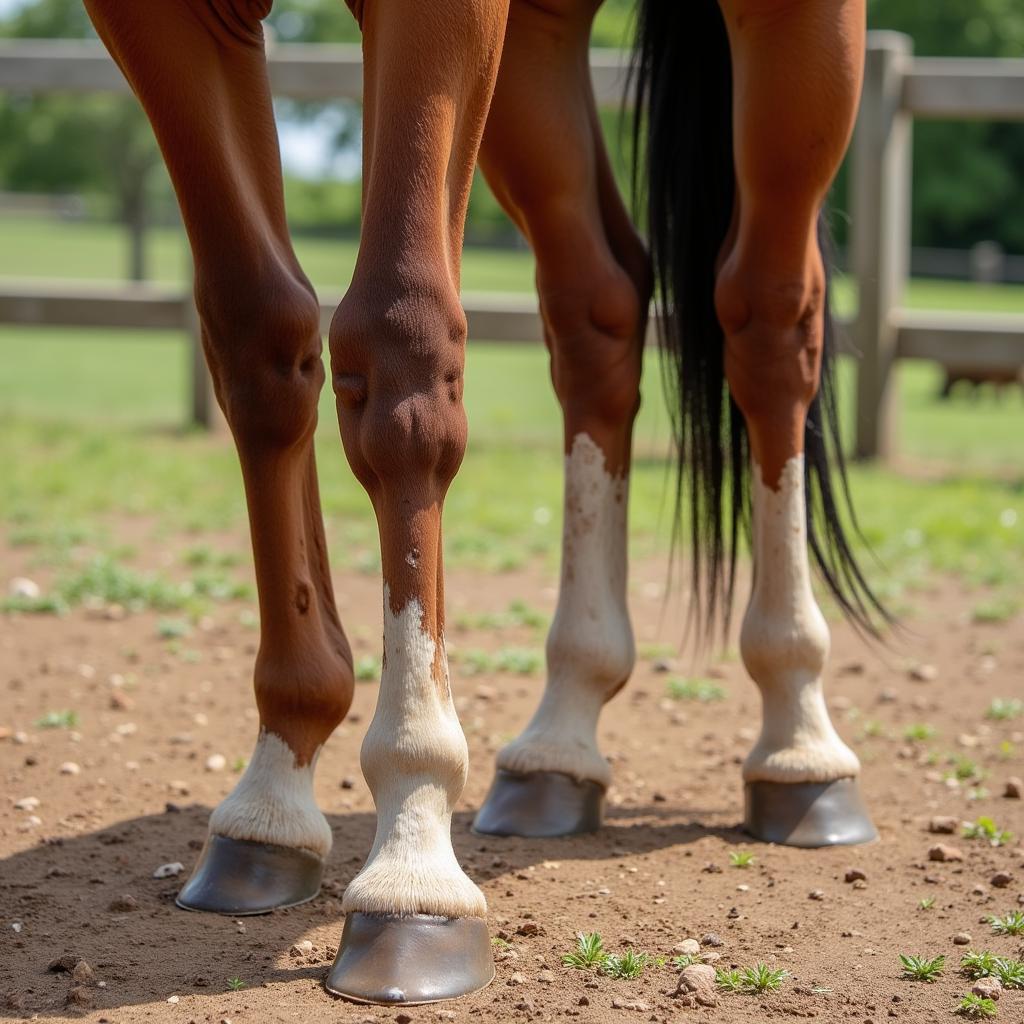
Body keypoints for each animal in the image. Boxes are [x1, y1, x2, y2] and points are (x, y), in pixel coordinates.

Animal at [81, 0, 880, 1007]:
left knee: (771, 317)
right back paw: (562, 735)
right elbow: (260, 337)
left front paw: (412, 859)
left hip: (797, 36)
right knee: (596, 306)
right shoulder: (167, 21)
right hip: (538, 44)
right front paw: (274, 792)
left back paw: (800, 737)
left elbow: (402, 343)